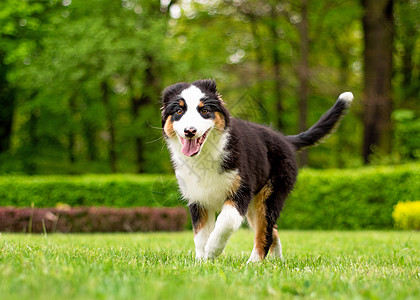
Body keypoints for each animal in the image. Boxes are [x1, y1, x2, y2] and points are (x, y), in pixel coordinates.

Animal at [161, 78, 352, 262]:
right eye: (179, 111)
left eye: (205, 110)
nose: (190, 131)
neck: (206, 154)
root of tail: (286, 140)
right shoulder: (198, 198)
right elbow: (200, 234)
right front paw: (202, 261)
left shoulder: (241, 191)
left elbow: (226, 222)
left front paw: (212, 250)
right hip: (256, 205)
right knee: (272, 230)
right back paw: (276, 260)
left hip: (270, 194)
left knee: (265, 232)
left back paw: (254, 262)